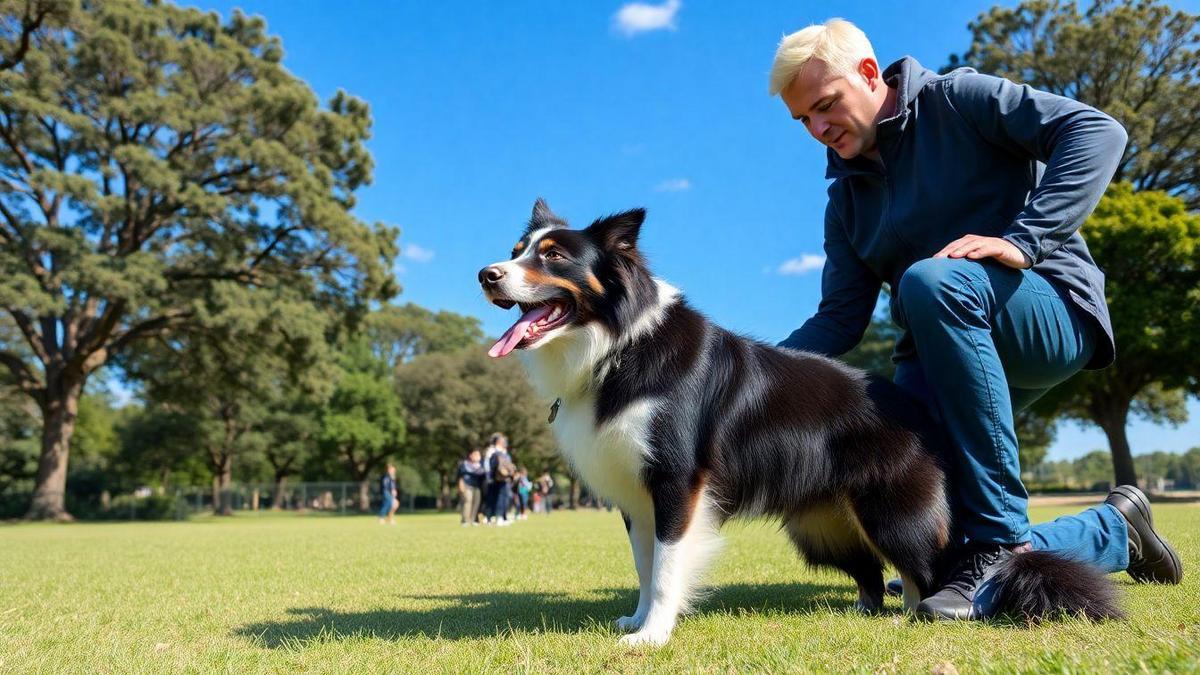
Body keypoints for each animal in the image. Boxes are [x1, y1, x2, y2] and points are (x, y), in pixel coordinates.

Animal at [475, 196, 1113, 643]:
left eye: (554, 256)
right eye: (517, 247)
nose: (486, 274)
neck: (617, 343)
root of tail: (918, 405)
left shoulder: (677, 481)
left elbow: (667, 565)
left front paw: (653, 636)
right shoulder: (633, 492)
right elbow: (643, 562)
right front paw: (635, 622)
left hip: (893, 511)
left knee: (926, 570)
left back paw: (921, 614)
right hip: (821, 526)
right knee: (874, 572)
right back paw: (870, 611)